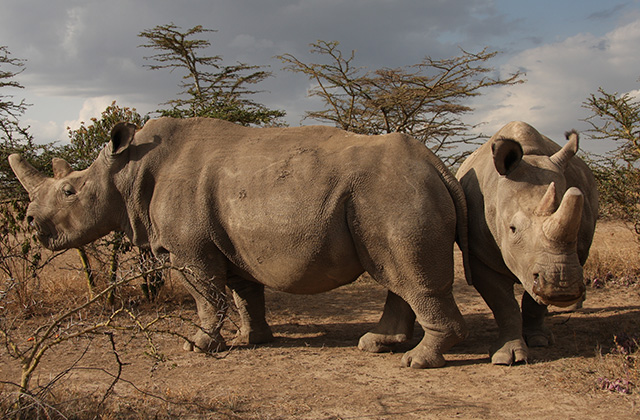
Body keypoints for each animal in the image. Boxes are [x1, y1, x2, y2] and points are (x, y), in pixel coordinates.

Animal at [9, 117, 471, 368]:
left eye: (69, 191)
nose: (30, 220)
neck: (127, 171)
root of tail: (437, 163)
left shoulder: (188, 250)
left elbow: (206, 296)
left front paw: (197, 346)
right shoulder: (230, 244)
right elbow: (243, 292)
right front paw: (252, 339)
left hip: (392, 193)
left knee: (407, 274)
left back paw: (416, 362)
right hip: (389, 193)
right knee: (395, 274)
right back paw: (377, 346)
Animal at [456, 121, 598, 365]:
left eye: (579, 226)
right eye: (513, 229)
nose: (562, 286)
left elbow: (533, 303)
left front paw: (539, 340)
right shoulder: (479, 256)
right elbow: (504, 304)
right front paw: (509, 357)